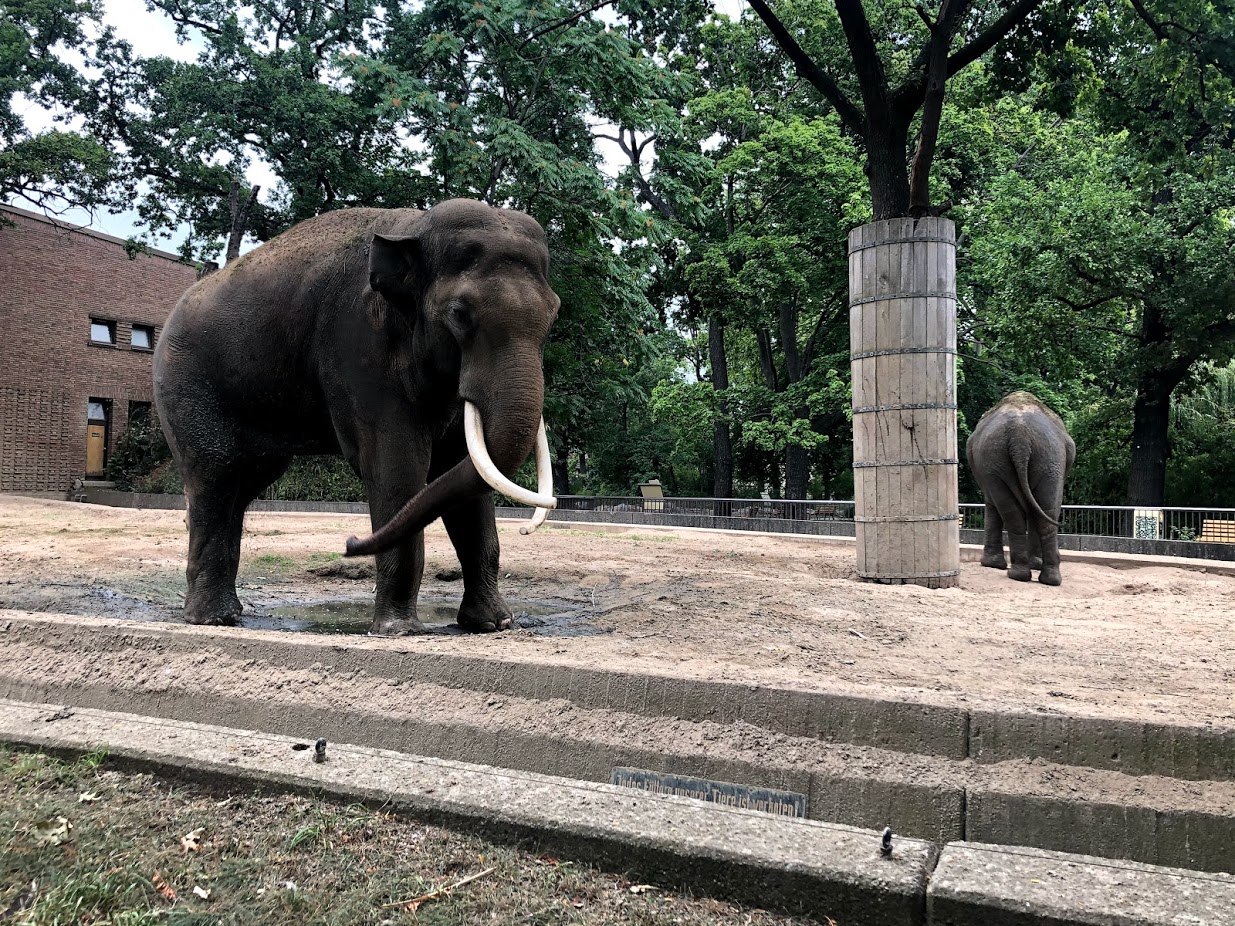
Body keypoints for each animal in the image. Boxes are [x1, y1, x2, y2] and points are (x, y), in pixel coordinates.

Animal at [153, 199, 559, 635]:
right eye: (460, 314)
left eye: (553, 315)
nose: (349, 543)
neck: (415, 227)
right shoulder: (358, 344)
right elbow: (397, 466)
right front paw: (400, 630)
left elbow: (466, 471)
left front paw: (494, 624)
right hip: (187, 385)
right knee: (216, 474)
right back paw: (213, 618)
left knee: (244, 482)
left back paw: (227, 614)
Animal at [965, 391, 1076, 586]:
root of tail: (1020, 436)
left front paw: (991, 564)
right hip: (1046, 460)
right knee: (1043, 512)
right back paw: (1042, 578)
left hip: (1034, 459)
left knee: (1021, 512)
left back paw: (1026, 575)